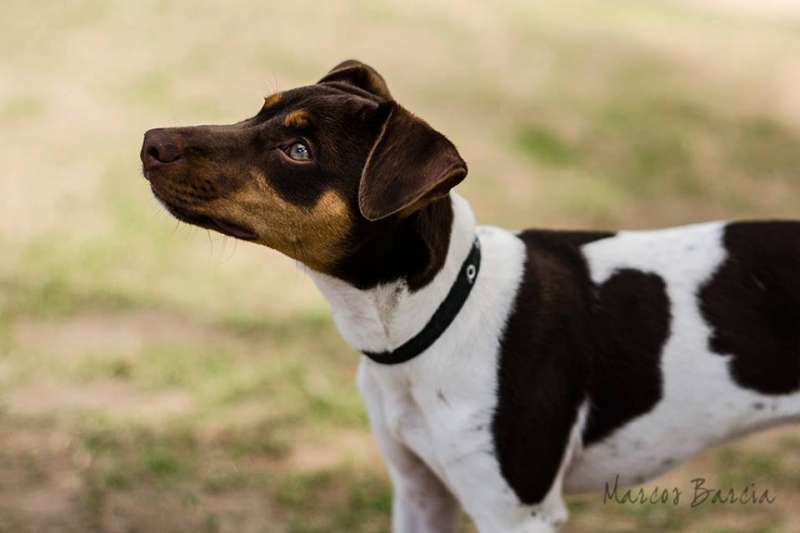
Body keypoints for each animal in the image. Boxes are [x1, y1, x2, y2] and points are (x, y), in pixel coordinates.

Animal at [141, 60, 800, 528]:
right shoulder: (419, 491)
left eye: (298, 151)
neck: (431, 321)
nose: (150, 140)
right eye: (259, 112)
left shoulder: (514, 512)